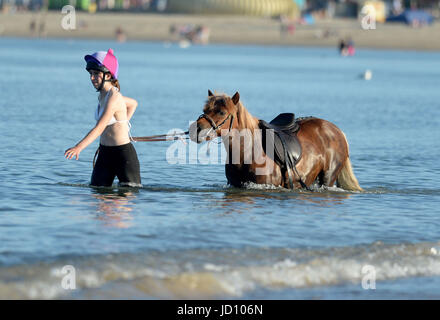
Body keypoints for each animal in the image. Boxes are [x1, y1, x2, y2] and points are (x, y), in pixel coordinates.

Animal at [191, 90, 362, 191]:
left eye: (221, 112)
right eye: (205, 110)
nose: (196, 129)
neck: (248, 152)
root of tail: (336, 131)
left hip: (328, 177)